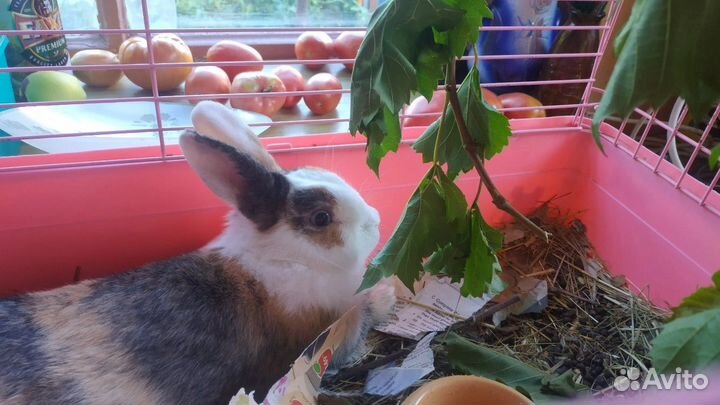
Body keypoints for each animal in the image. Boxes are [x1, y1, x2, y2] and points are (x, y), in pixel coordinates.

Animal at [0, 100, 396, 405]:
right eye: (321, 217)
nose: (376, 220)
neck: (285, 259)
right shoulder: (324, 337)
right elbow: (363, 315)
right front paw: (387, 292)